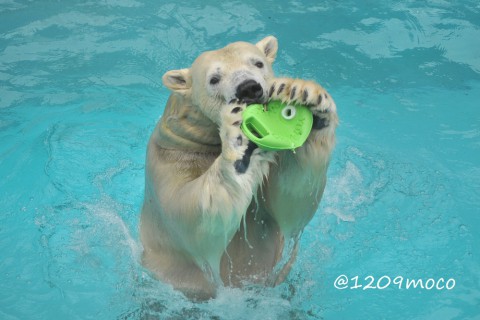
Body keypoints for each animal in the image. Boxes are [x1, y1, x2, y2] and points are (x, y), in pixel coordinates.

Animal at [141, 35, 340, 300]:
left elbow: (292, 201)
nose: (248, 88)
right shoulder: (167, 163)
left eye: (258, 63)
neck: (205, 141)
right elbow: (195, 222)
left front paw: (306, 96)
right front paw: (238, 137)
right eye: (214, 79)